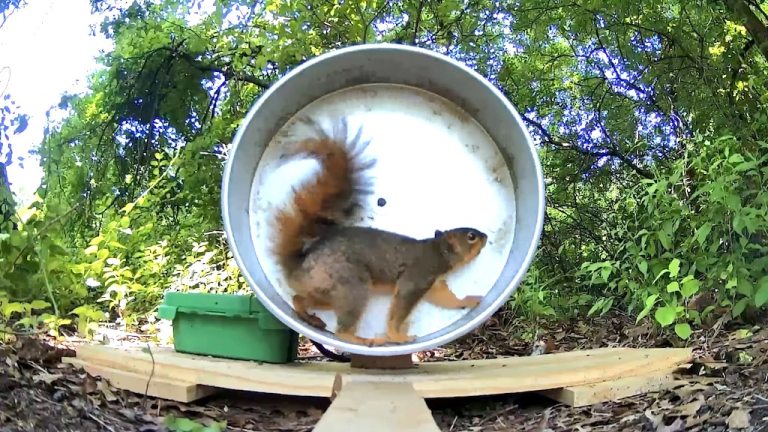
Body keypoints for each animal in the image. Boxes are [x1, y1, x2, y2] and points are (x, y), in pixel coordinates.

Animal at [270, 116, 486, 346]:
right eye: (471, 236)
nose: (486, 237)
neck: (438, 251)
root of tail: (298, 269)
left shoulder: (435, 286)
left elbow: (447, 299)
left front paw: (468, 300)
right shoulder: (417, 277)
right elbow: (400, 309)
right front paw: (399, 336)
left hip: (326, 293)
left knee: (299, 298)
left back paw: (310, 317)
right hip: (351, 286)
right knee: (341, 329)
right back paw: (362, 340)